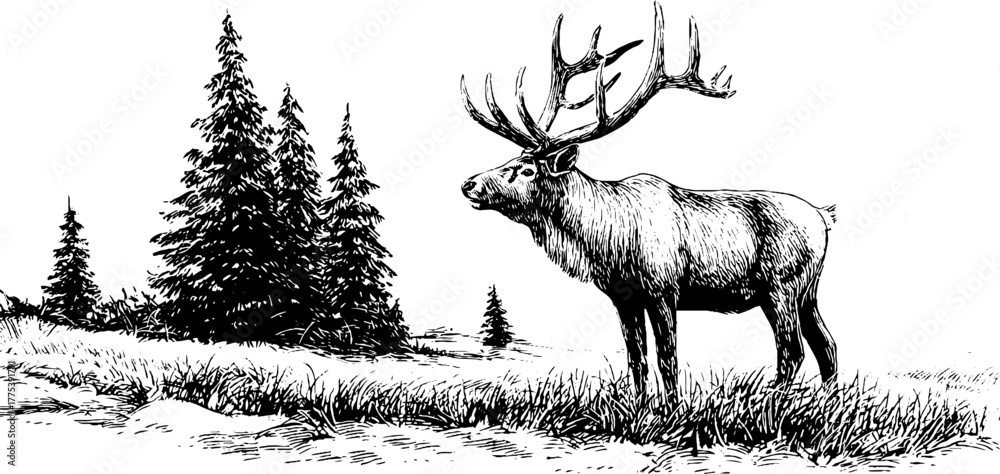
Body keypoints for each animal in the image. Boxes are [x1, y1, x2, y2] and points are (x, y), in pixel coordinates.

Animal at [459, 3, 838, 400]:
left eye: (527, 169)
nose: (468, 183)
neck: (606, 240)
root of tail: (824, 217)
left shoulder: (663, 289)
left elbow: (667, 358)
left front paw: (672, 409)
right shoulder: (623, 297)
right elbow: (636, 359)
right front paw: (640, 405)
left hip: (782, 285)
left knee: (792, 350)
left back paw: (767, 399)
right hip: (808, 290)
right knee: (826, 344)